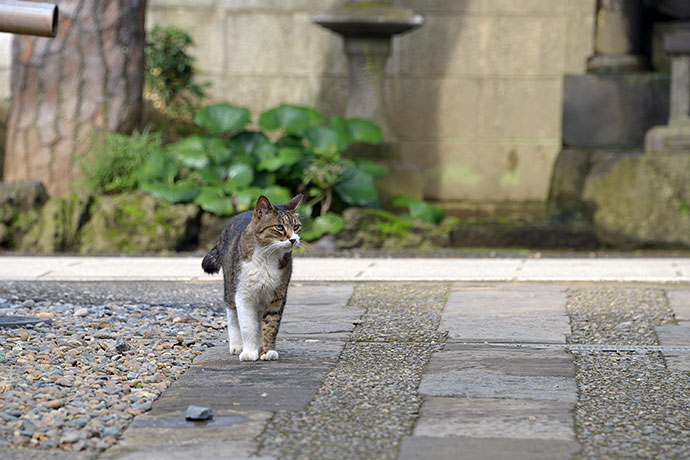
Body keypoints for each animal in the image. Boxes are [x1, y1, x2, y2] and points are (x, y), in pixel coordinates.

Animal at [202, 192, 304, 362]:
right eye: (279, 227)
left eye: (296, 227)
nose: (293, 239)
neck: (267, 256)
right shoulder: (244, 295)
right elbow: (247, 326)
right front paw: (249, 352)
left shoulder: (278, 296)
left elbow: (270, 325)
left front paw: (268, 351)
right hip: (230, 285)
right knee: (232, 314)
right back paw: (237, 345)